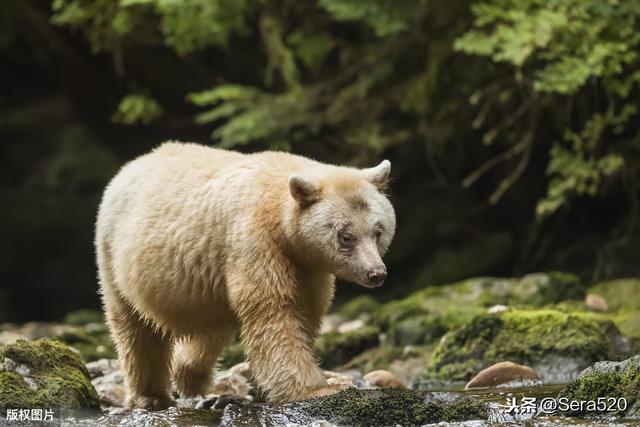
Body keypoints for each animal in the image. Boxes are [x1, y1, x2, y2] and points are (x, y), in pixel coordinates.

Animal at [95, 142, 396, 409]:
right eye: (346, 236)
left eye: (378, 231)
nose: (376, 273)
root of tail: (128, 168)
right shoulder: (255, 241)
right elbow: (275, 314)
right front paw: (318, 389)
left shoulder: (309, 268)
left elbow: (305, 313)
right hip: (114, 257)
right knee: (135, 329)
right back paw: (151, 395)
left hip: (207, 289)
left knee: (211, 330)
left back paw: (189, 375)